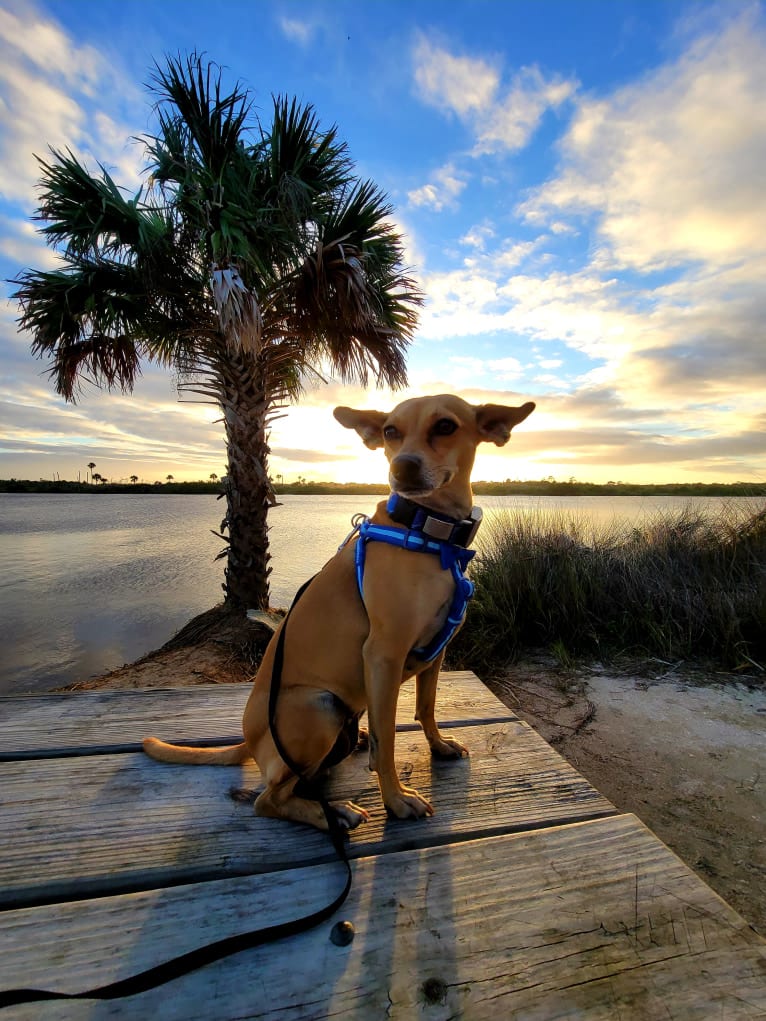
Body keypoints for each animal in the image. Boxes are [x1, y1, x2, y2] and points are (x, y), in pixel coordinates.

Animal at [147, 394, 535, 833]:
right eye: (390, 431)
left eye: (445, 426)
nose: (402, 467)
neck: (429, 535)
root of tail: (251, 740)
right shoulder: (383, 656)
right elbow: (387, 741)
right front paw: (396, 801)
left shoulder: (437, 653)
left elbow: (426, 707)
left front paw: (438, 745)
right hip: (318, 706)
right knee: (268, 799)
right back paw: (332, 812)